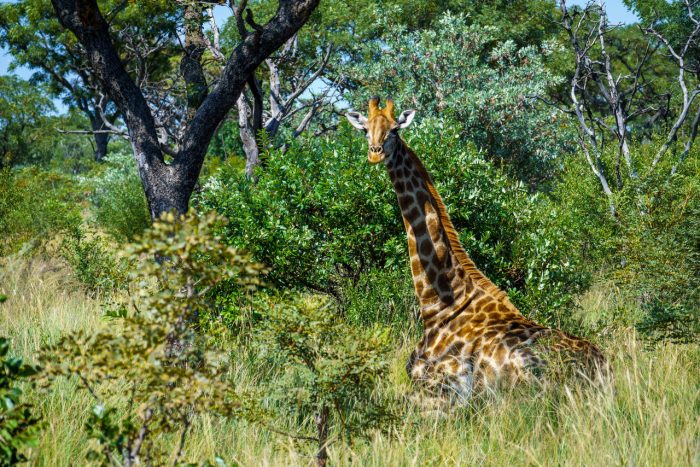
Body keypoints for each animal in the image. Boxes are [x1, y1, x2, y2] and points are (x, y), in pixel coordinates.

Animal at [346, 97, 608, 400]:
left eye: (394, 130)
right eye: (366, 130)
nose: (375, 154)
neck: (438, 305)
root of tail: (603, 367)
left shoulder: (442, 381)